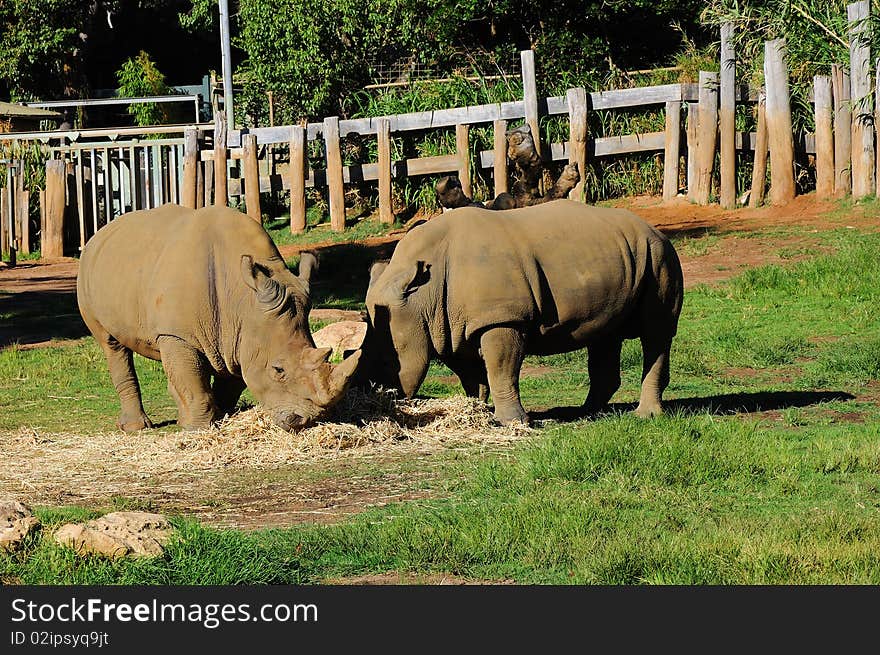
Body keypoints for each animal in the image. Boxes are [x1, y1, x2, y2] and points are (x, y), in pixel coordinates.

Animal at [77, 204, 360, 430]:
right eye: (278, 370)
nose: (309, 420)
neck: (243, 301)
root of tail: (100, 233)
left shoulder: (240, 336)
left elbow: (227, 384)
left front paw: (220, 418)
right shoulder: (178, 334)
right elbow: (193, 383)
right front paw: (198, 429)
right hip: (88, 273)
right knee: (112, 345)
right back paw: (136, 428)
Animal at [360, 200, 684, 426]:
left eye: (388, 362)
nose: (374, 398)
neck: (422, 294)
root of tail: (655, 229)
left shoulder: (501, 318)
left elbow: (501, 369)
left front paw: (512, 422)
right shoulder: (449, 325)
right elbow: (472, 375)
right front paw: (478, 411)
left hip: (660, 257)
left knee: (656, 333)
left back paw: (645, 416)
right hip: (623, 258)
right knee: (605, 334)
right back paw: (587, 413)